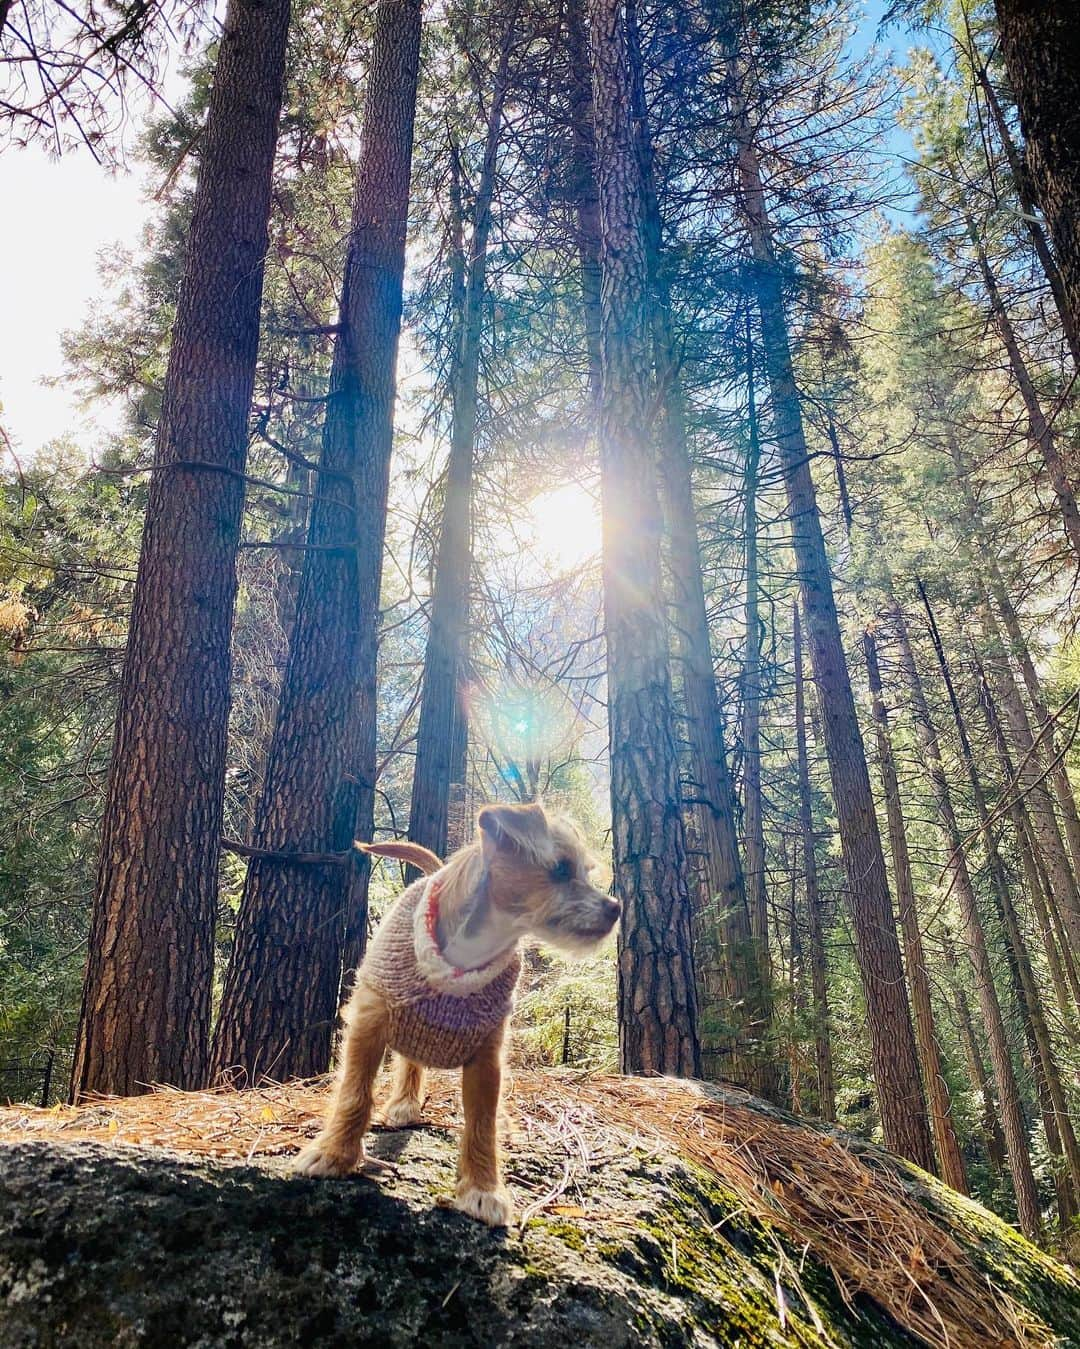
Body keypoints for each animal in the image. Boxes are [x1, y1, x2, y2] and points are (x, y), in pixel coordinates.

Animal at [291, 798, 620, 1235]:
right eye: (562, 869)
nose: (616, 908)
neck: (470, 952)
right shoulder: (368, 1022)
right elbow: (354, 1093)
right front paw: (334, 1154)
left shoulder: (487, 1057)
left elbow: (481, 1122)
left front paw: (482, 1189)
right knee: (409, 1061)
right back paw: (404, 1102)